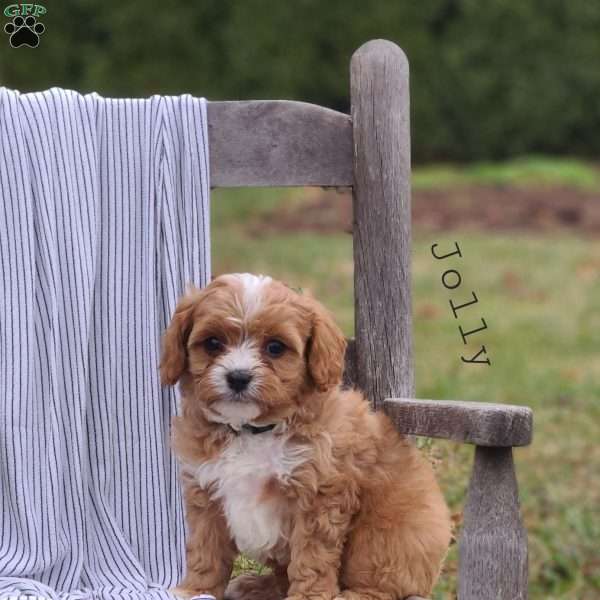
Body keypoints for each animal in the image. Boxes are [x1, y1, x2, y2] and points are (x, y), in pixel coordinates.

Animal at [159, 274, 450, 600]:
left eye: (275, 347)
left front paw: (308, 596)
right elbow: (205, 549)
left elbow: (311, 560)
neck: (252, 430)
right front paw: (196, 590)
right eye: (212, 343)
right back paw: (255, 585)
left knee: (382, 583)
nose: (238, 377)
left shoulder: (318, 498)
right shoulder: (206, 491)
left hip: (387, 534)